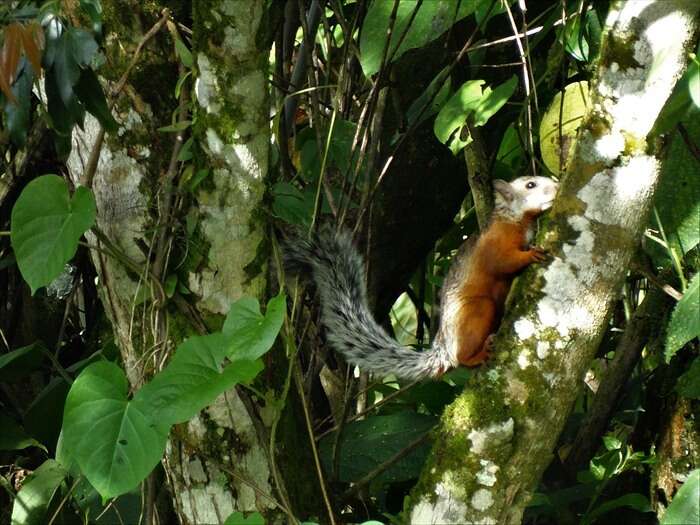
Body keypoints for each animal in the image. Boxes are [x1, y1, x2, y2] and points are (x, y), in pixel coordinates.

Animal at [284, 175, 556, 376]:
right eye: (530, 185)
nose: (556, 187)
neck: (515, 218)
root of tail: (443, 349)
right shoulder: (496, 242)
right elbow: (503, 263)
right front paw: (531, 255)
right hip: (477, 310)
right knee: (461, 357)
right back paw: (477, 353)